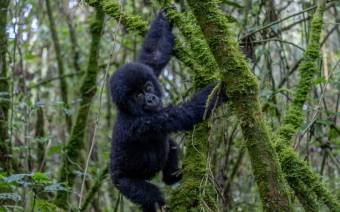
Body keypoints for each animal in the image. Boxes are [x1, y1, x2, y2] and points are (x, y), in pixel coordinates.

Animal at [109, 9, 226, 212]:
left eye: (147, 87)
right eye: (137, 96)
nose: (150, 98)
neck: (130, 111)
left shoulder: (146, 69)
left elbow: (154, 55)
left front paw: (164, 16)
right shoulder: (145, 123)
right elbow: (186, 114)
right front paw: (221, 89)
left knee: (170, 144)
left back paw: (172, 177)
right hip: (123, 182)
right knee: (150, 197)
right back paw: (159, 203)